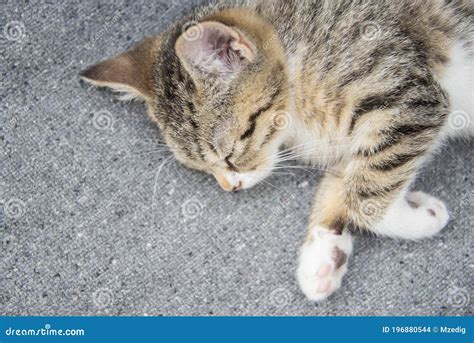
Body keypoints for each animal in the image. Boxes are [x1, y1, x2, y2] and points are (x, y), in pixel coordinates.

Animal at [79, 0, 472, 300]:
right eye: (201, 169)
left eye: (230, 153)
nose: (230, 187)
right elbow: (348, 177)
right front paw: (323, 254)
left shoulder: (408, 97)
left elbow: (367, 194)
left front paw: (418, 217)